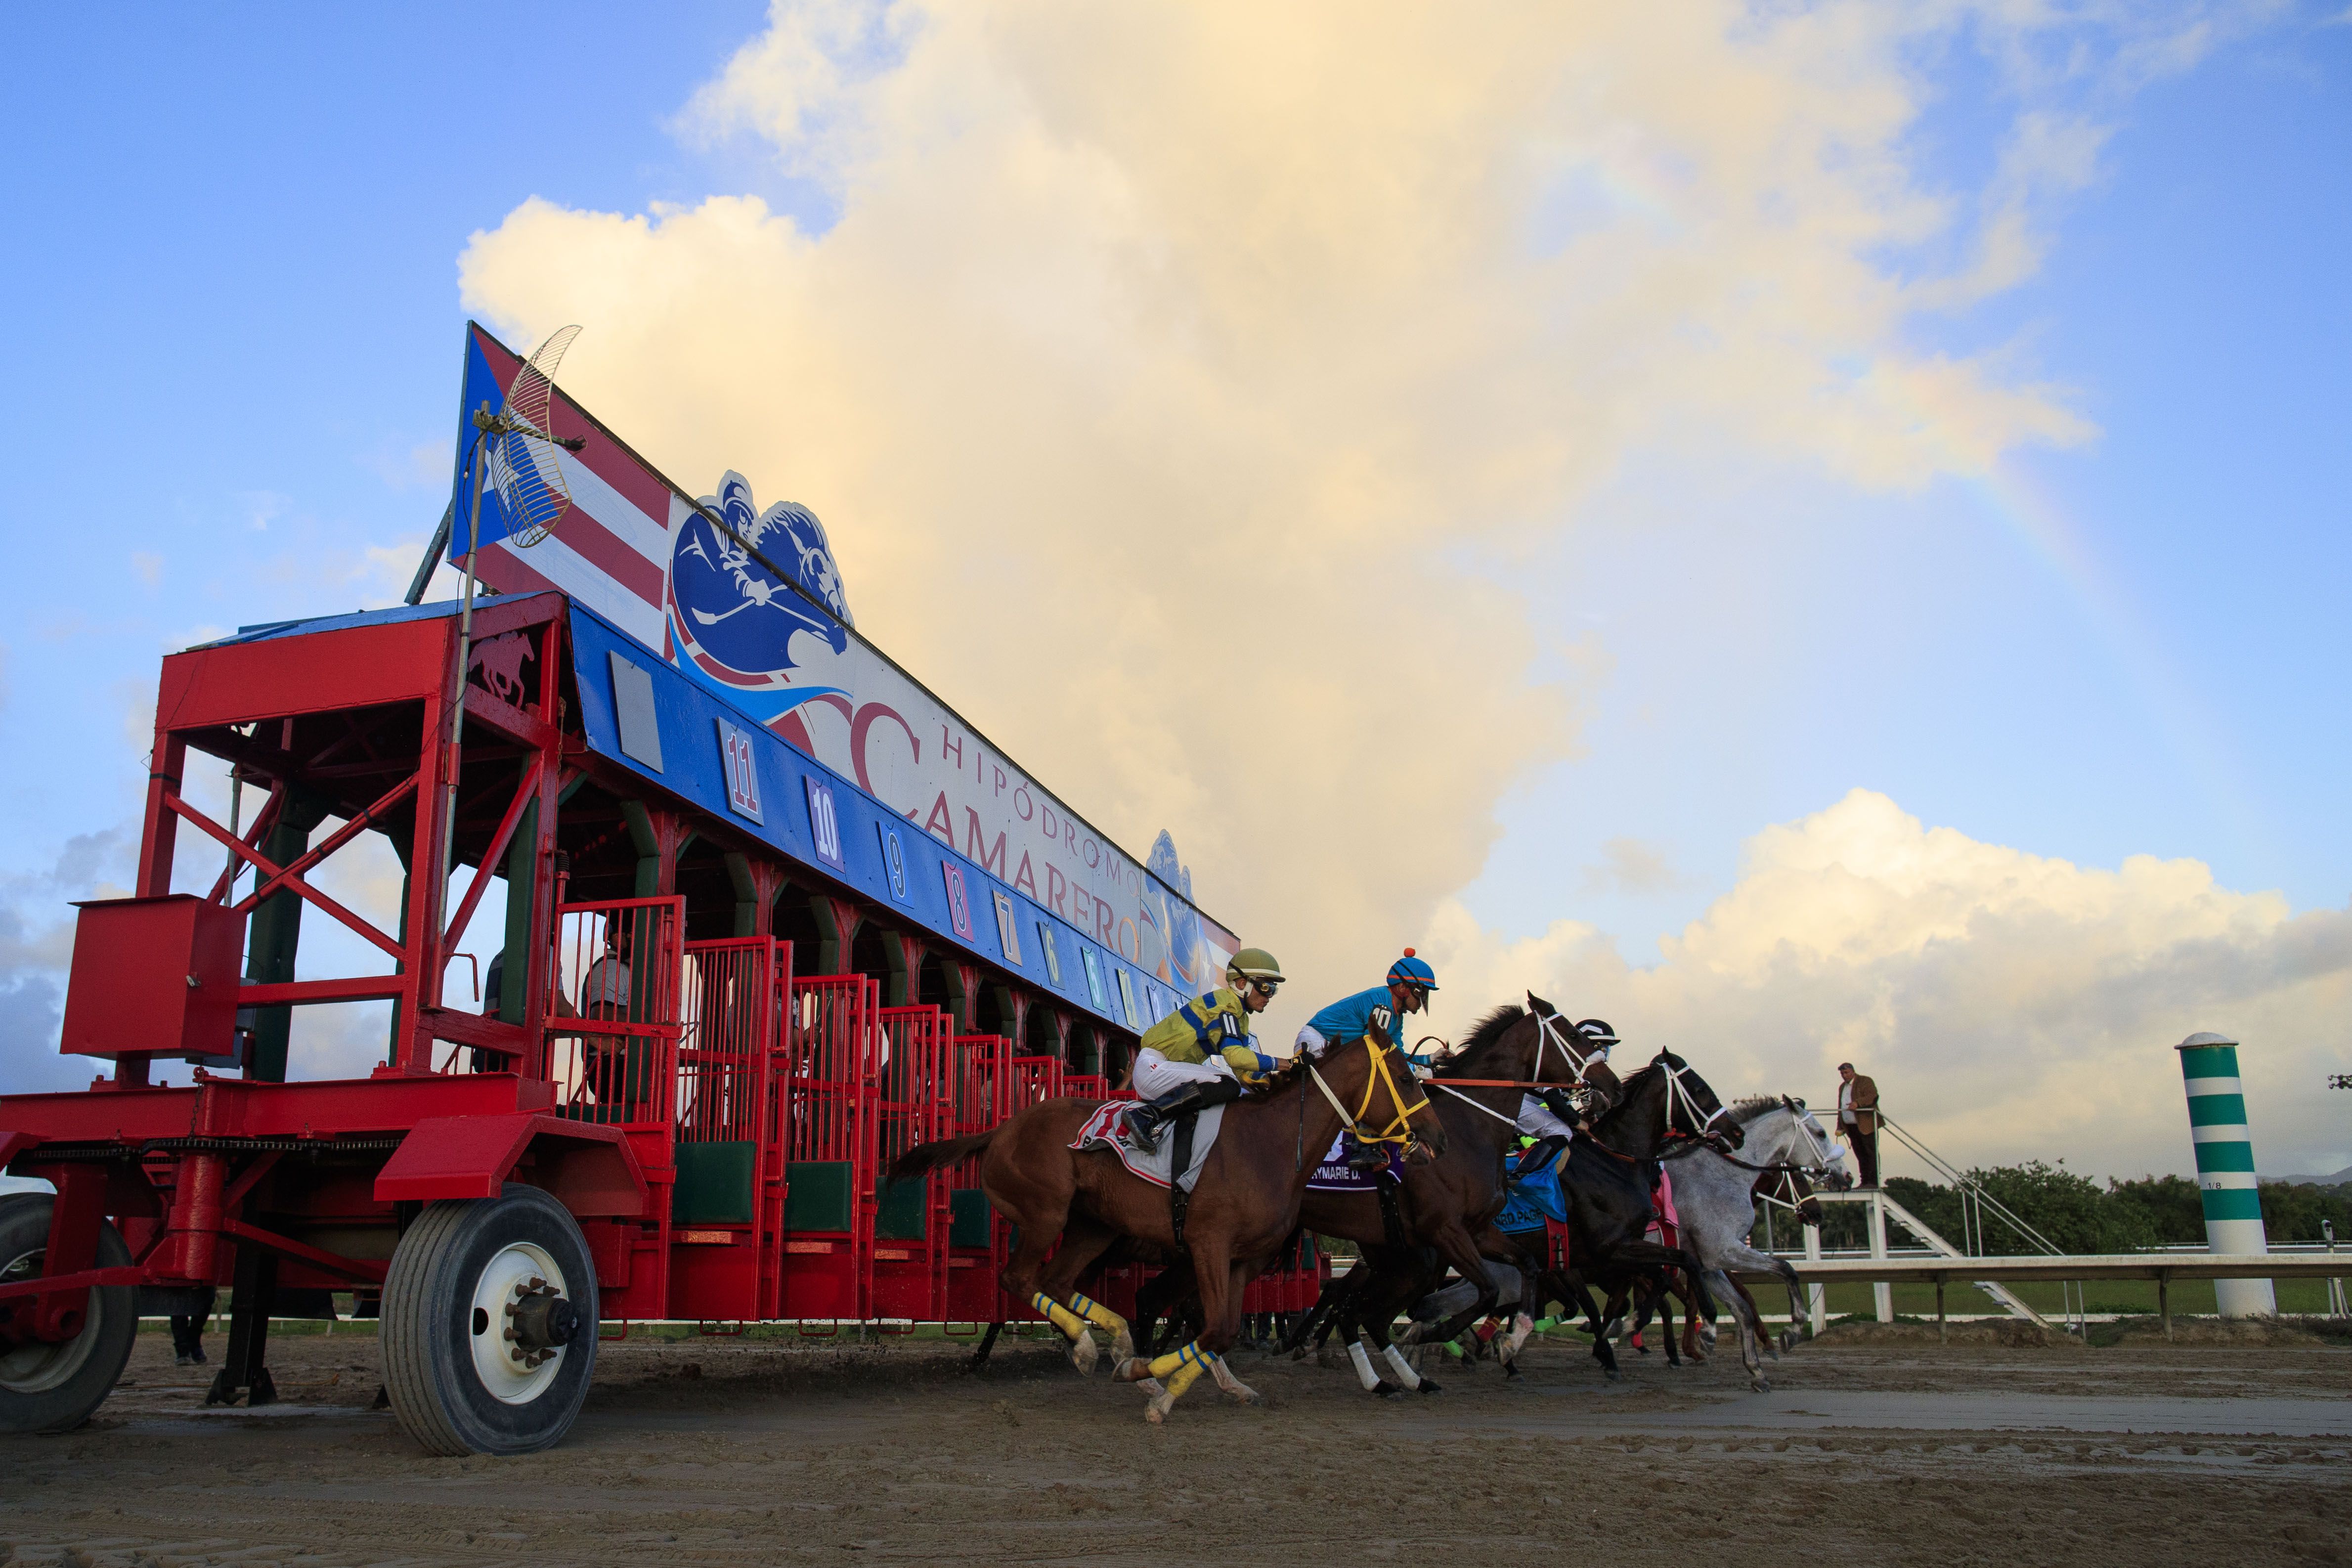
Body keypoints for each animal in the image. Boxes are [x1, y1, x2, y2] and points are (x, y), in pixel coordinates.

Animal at [889, 1029, 1439, 1420]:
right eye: (1406, 1079)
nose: (1434, 1135)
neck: (1271, 1143)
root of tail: (1001, 1130)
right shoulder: (1207, 1243)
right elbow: (1213, 1327)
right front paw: (1147, 1380)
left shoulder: (1241, 1260)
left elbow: (1220, 1330)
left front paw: (1161, 1387)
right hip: (1048, 1212)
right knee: (1020, 1278)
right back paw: (1089, 1348)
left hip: (1095, 1227)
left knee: (1057, 1282)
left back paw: (1113, 1344)